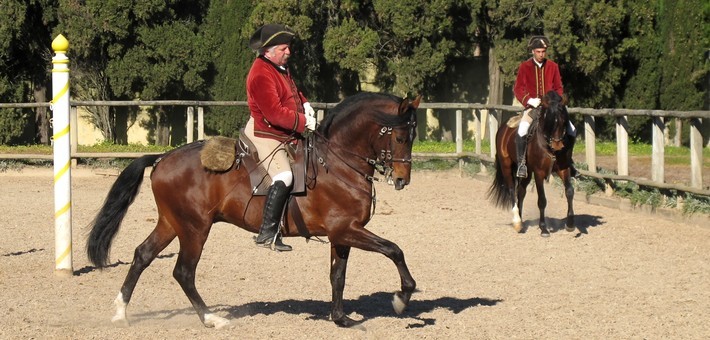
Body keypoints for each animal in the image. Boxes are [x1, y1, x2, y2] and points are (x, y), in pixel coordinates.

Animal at [89, 91, 422, 328]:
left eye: (413, 136)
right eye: (400, 136)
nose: (403, 180)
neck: (337, 162)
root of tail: (163, 158)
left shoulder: (341, 234)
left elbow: (337, 275)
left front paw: (340, 319)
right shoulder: (347, 229)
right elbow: (394, 250)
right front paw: (402, 298)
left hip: (171, 224)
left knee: (142, 255)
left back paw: (121, 313)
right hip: (194, 229)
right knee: (183, 271)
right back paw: (211, 319)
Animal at [490, 91, 580, 238]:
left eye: (564, 121)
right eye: (549, 120)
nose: (557, 145)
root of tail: (503, 128)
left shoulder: (563, 169)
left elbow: (569, 192)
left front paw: (570, 224)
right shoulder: (539, 173)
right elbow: (542, 200)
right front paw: (543, 228)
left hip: (527, 172)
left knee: (520, 191)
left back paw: (521, 219)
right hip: (506, 166)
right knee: (511, 190)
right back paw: (517, 222)